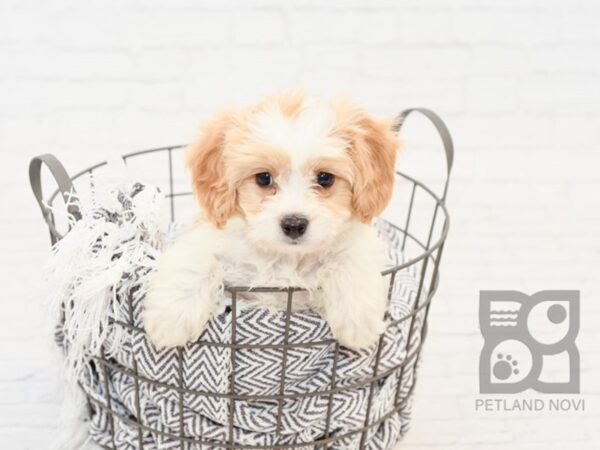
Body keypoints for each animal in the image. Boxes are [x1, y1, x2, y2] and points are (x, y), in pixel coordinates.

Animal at [143, 93, 400, 350]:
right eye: (264, 178)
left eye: (325, 178)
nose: (294, 224)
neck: (286, 257)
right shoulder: (210, 233)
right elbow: (193, 259)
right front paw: (170, 318)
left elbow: (351, 257)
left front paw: (359, 321)